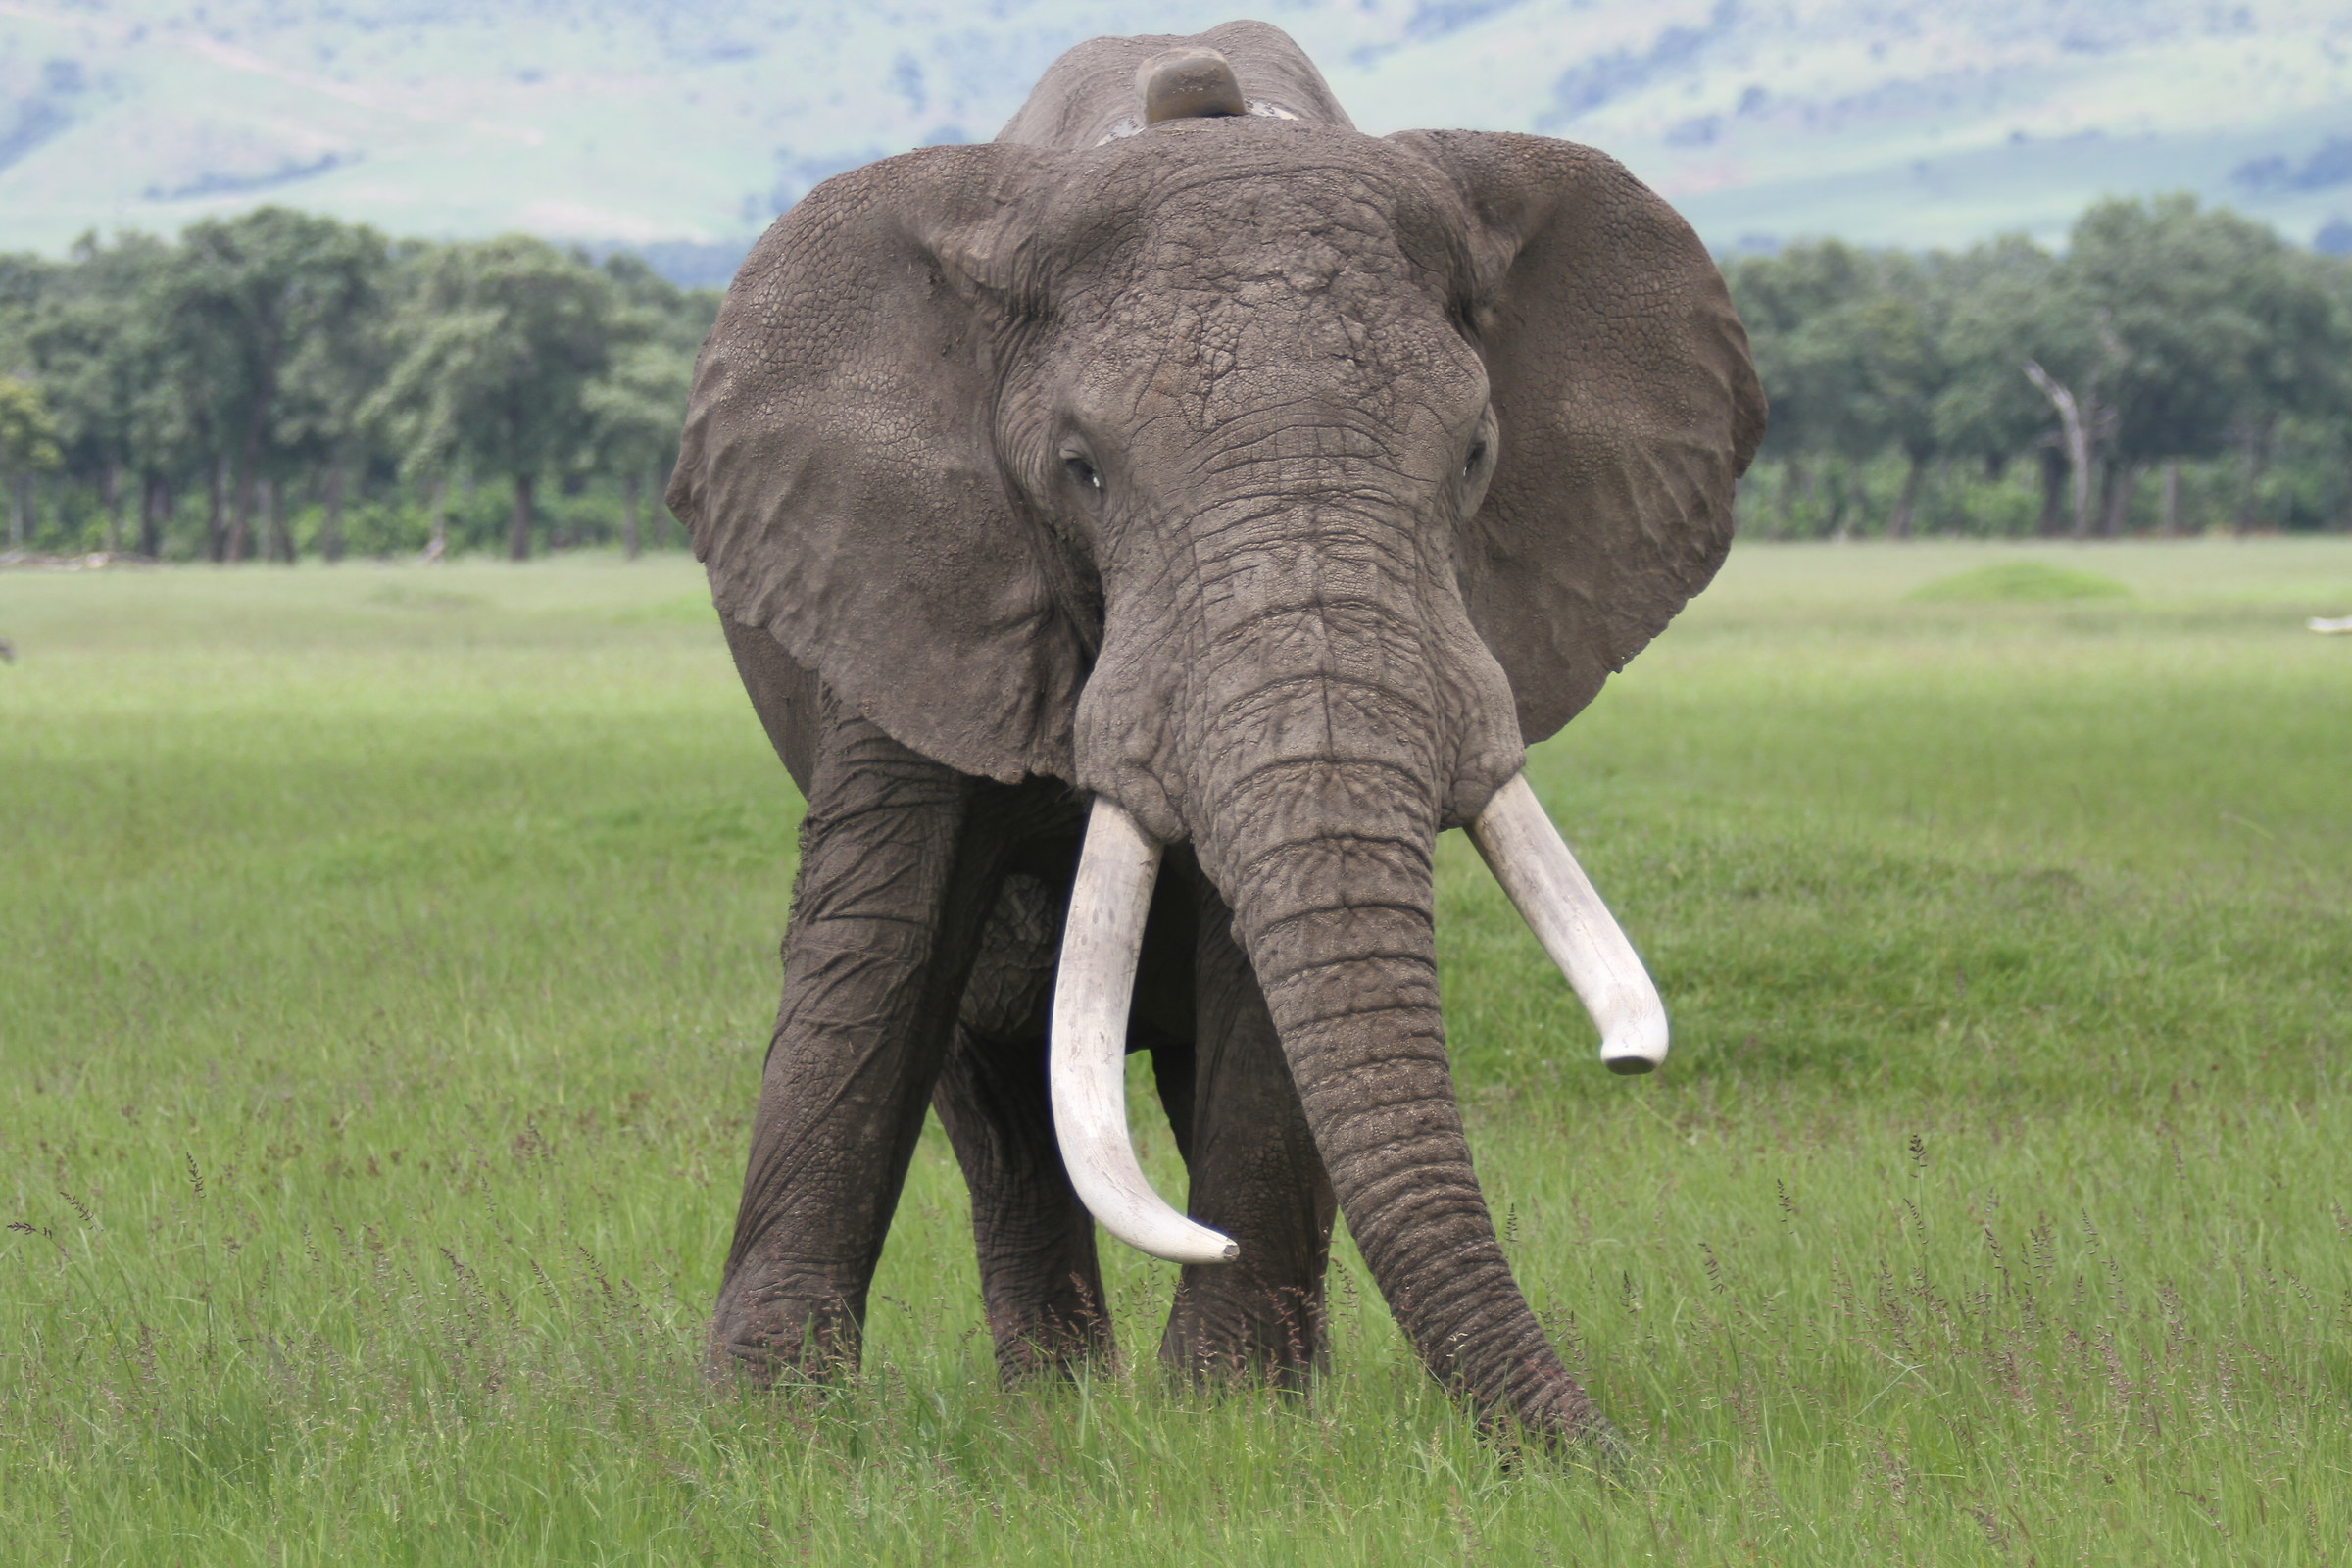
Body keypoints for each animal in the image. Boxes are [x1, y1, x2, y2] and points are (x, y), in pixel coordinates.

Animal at [665, 19, 1763, 1447]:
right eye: (1081, 470)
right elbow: (883, 940)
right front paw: (768, 1426)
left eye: (1474, 457)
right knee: (997, 1089)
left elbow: (1260, 971)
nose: (1623, 1459)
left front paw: (1232, 1417)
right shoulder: (905, 578)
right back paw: (1057, 1406)